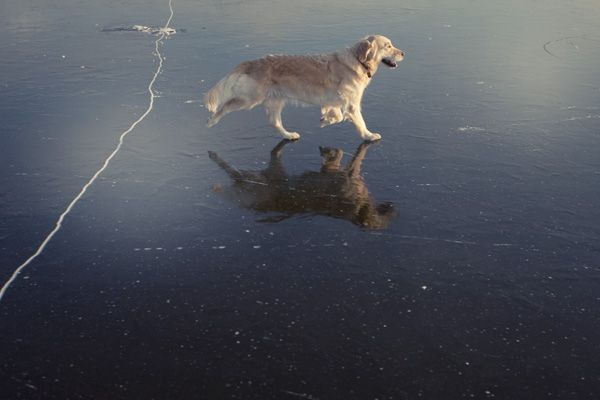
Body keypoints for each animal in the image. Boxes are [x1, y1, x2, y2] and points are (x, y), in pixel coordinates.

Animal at [204, 35, 406, 142]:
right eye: (388, 46)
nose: (404, 53)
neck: (358, 60)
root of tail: (253, 62)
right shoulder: (352, 104)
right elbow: (358, 122)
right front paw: (369, 135)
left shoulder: (334, 100)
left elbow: (337, 116)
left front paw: (326, 120)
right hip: (250, 99)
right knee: (226, 106)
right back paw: (212, 120)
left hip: (275, 101)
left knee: (274, 122)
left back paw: (288, 135)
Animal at [209, 140, 396, 228]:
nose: (393, 210)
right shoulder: (346, 174)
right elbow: (353, 155)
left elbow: (337, 157)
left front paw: (329, 152)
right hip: (265, 174)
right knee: (237, 171)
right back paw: (214, 156)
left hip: (268, 172)